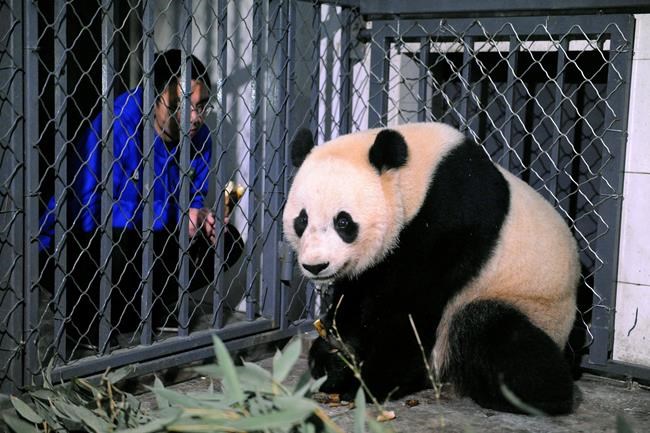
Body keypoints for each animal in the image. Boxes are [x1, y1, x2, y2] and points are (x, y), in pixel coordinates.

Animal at [282, 122, 580, 414]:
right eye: (302, 220)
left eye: (343, 222)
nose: (316, 265)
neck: (417, 178)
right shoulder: (375, 263)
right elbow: (358, 299)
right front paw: (334, 359)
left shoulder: (451, 220)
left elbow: (410, 309)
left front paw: (369, 382)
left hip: (531, 304)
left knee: (491, 330)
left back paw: (535, 397)